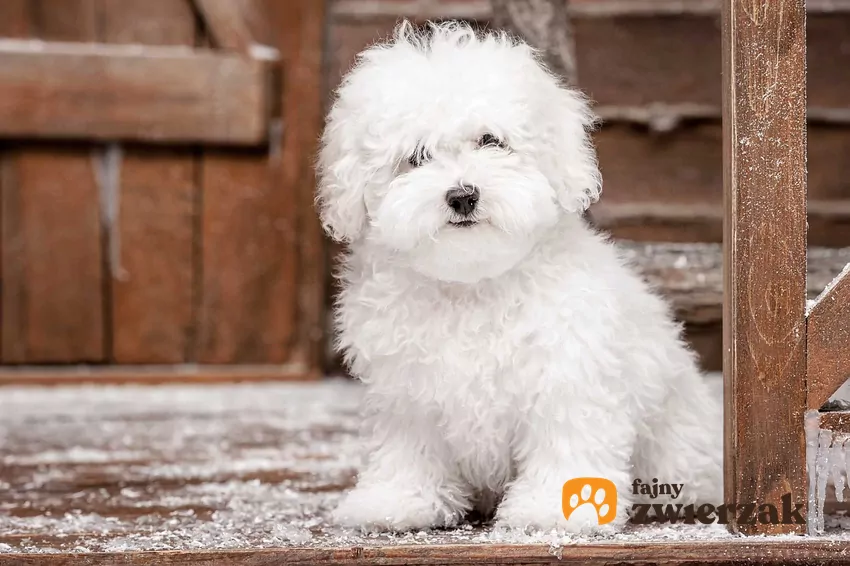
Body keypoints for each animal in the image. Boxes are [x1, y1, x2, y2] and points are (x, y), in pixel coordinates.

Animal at [318, 21, 724, 536]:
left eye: (491, 141)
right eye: (417, 156)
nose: (462, 195)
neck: (473, 284)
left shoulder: (567, 372)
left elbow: (565, 436)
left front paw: (560, 507)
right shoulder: (407, 390)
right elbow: (410, 444)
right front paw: (398, 500)